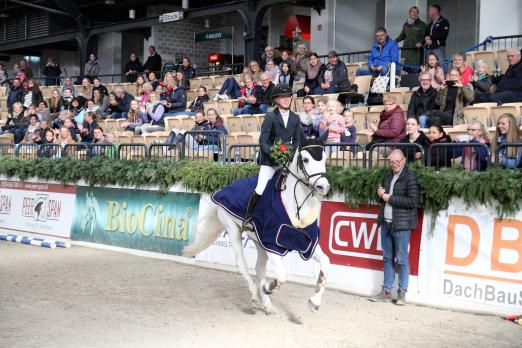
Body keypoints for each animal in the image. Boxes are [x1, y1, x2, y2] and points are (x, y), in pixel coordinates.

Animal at [183, 132, 330, 314]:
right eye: (306, 159)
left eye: (324, 158)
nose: (323, 187)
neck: (297, 205)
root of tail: (223, 188)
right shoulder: (272, 243)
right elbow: (282, 275)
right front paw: (268, 288)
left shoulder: (307, 242)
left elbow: (325, 263)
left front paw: (314, 302)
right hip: (233, 229)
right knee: (242, 264)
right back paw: (255, 294)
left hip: (258, 241)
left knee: (259, 269)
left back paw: (266, 304)